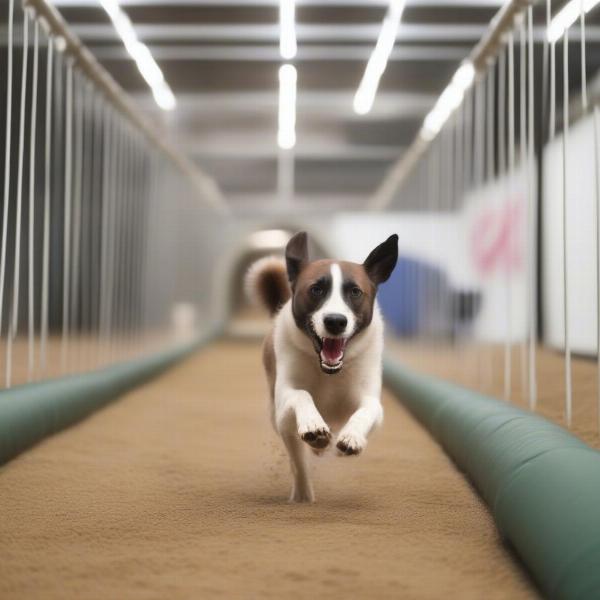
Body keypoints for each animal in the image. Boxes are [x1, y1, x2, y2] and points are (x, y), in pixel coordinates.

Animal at [246, 232, 400, 504]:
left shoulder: (371, 401)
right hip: (280, 422)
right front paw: (313, 427)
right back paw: (304, 490)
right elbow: (301, 394)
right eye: (316, 289)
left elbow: (367, 410)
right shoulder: (285, 400)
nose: (336, 321)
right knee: (298, 463)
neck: (329, 373)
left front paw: (352, 437)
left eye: (355, 292)